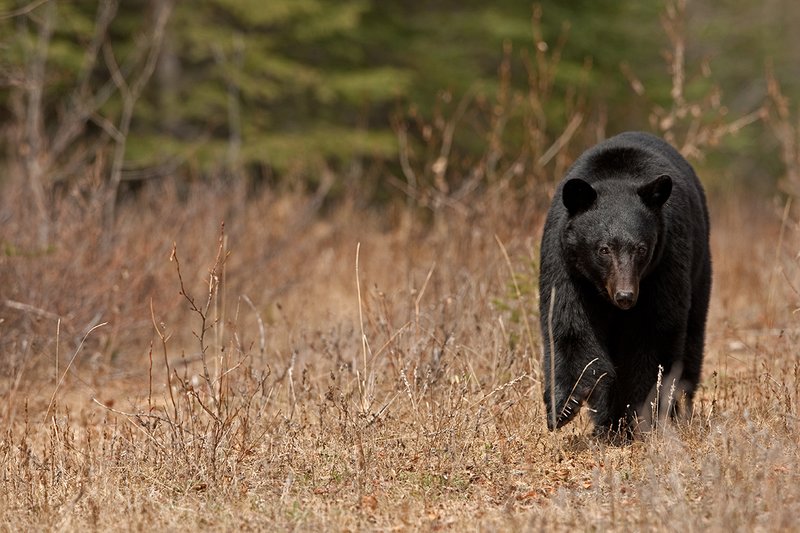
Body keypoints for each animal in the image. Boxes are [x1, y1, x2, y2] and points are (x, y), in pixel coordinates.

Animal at [538, 131, 711, 437]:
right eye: (603, 249)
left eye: (641, 248)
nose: (625, 296)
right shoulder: (565, 263)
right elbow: (569, 325)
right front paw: (563, 407)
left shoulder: (666, 263)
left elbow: (653, 335)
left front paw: (639, 414)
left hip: (700, 269)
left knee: (691, 341)